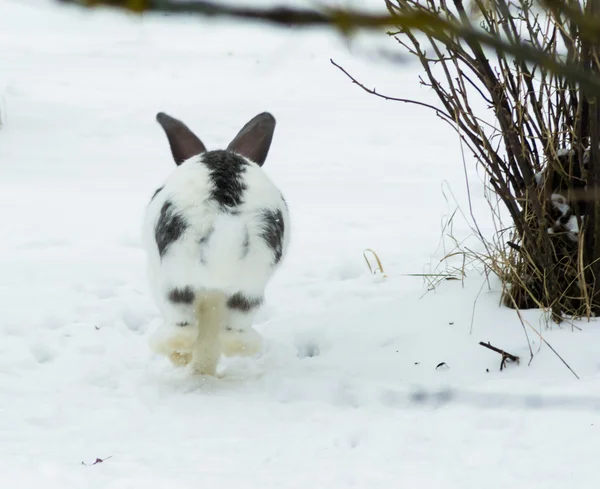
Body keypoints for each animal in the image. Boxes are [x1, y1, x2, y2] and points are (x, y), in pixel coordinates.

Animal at [142, 110, 290, 376]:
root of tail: (224, 216)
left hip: (171, 279)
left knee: (182, 329)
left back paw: (177, 356)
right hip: (250, 284)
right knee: (235, 335)